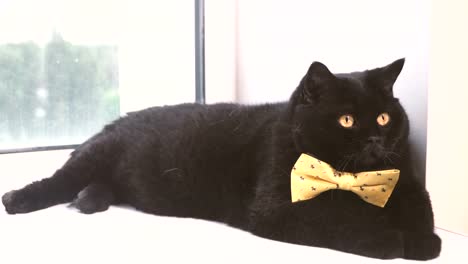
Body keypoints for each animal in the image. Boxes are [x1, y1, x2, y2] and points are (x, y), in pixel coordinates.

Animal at [1, 58, 440, 260]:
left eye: (384, 117)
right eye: (346, 119)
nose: (375, 138)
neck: (355, 181)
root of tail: (117, 119)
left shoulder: (406, 183)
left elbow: (422, 209)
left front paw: (425, 241)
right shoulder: (278, 207)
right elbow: (341, 217)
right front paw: (392, 239)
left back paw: (87, 199)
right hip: (94, 156)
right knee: (57, 180)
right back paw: (18, 199)